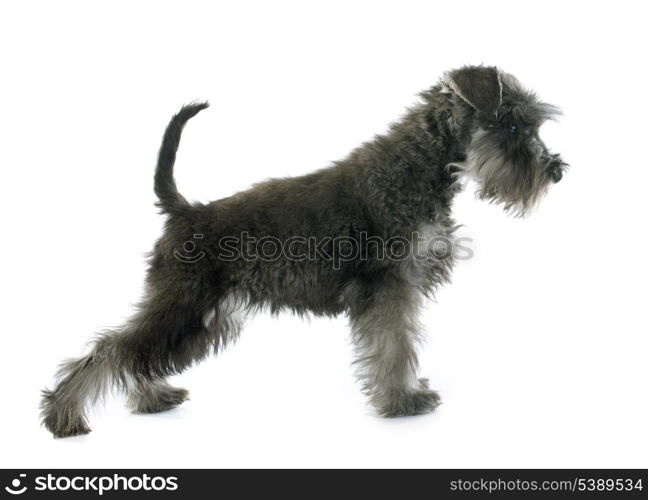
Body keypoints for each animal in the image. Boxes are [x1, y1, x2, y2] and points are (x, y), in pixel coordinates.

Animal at [40, 64, 568, 436]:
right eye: (513, 127)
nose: (556, 169)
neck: (418, 165)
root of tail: (185, 210)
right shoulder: (389, 288)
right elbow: (394, 346)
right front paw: (403, 401)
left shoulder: (396, 289)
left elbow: (397, 344)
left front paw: (405, 394)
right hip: (184, 301)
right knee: (115, 349)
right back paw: (64, 415)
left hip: (202, 313)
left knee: (139, 354)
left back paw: (151, 398)